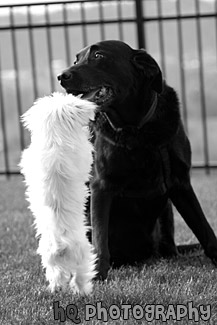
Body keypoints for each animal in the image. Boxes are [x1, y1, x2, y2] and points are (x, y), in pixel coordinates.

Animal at [19, 92, 97, 294]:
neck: (54, 137)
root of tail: (60, 243)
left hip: (49, 258)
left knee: (57, 277)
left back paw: (55, 289)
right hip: (83, 254)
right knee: (80, 276)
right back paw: (84, 292)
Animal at [58, 40, 217, 278]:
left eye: (98, 55)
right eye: (76, 59)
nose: (61, 76)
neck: (136, 129)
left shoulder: (180, 182)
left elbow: (205, 229)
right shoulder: (101, 185)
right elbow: (100, 239)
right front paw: (98, 274)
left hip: (166, 212)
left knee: (170, 248)